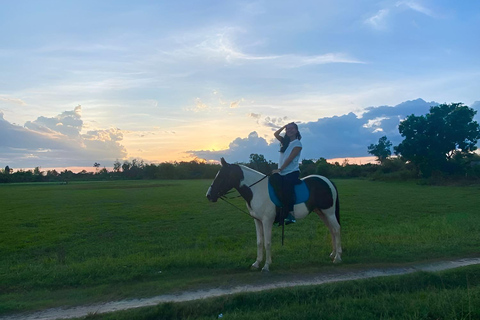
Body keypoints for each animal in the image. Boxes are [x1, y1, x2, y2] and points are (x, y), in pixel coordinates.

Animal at [206, 157, 342, 270]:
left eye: (221, 176)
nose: (209, 195)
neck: (257, 190)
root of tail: (328, 181)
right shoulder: (257, 221)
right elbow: (259, 242)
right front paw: (257, 263)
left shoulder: (267, 221)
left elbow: (267, 242)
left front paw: (266, 265)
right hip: (321, 213)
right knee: (331, 230)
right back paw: (333, 254)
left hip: (329, 213)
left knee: (336, 229)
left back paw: (337, 257)